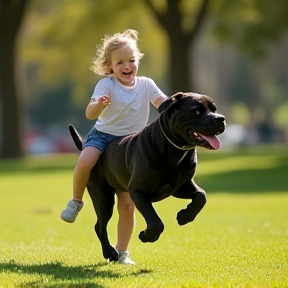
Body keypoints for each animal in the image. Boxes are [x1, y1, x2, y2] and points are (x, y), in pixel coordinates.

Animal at [68, 91, 226, 260]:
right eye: (196, 111)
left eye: (214, 109)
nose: (221, 118)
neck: (174, 150)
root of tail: (86, 147)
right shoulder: (139, 192)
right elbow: (156, 222)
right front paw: (147, 236)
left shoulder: (180, 186)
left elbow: (201, 196)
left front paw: (184, 216)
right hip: (103, 198)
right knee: (99, 226)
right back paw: (109, 252)